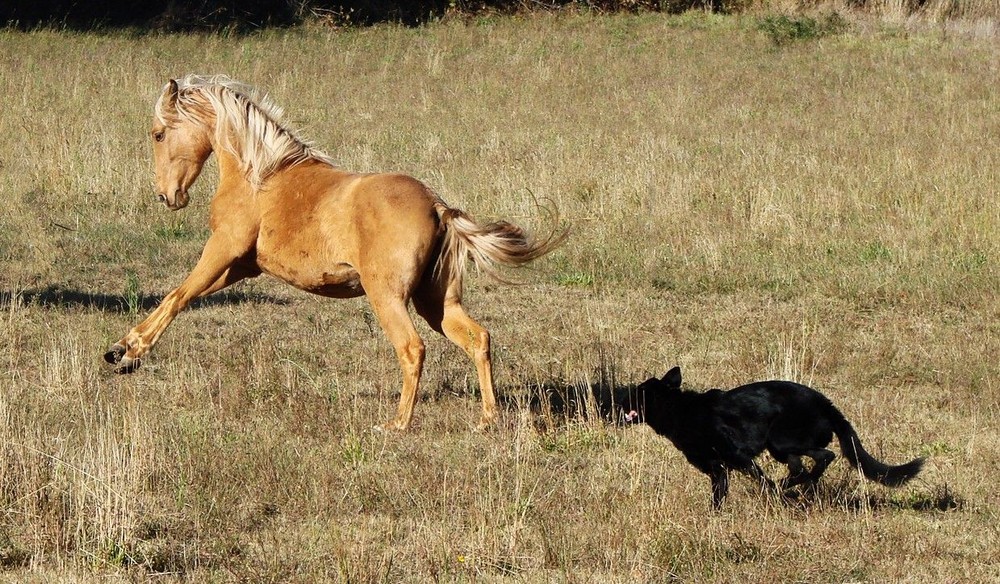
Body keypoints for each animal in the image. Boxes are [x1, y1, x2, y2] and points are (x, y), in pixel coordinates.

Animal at [107, 75, 572, 428]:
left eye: (158, 133)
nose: (167, 196)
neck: (261, 176)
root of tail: (436, 206)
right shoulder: (240, 268)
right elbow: (183, 297)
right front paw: (121, 350)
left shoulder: (222, 252)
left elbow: (177, 296)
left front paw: (129, 351)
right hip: (436, 301)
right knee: (479, 339)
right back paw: (487, 418)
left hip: (388, 297)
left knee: (413, 349)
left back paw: (397, 424)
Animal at [628, 368, 924, 508]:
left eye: (638, 391)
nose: (622, 397)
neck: (679, 409)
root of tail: (826, 404)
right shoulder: (718, 468)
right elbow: (719, 496)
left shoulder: (739, 459)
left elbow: (761, 483)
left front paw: (772, 496)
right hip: (782, 449)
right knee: (801, 468)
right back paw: (794, 487)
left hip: (780, 441)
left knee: (823, 457)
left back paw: (792, 488)